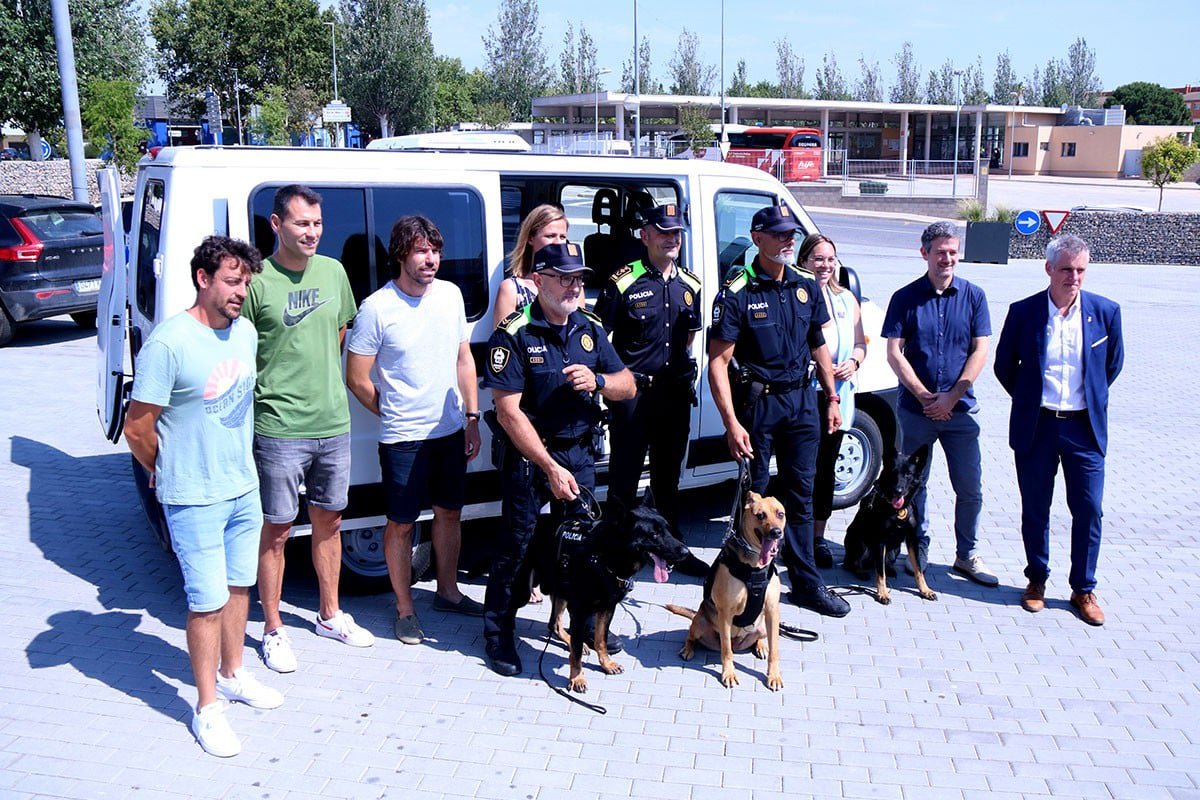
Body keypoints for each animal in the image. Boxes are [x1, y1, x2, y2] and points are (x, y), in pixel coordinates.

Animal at [540, 501, 691, 695]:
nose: (686, 552)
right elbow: (576, 653)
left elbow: (601, 640)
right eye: (654, 534)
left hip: (560, 592)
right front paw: (577, 677)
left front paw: (606, 663)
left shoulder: (607, 608)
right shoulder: (580, 612)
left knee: (555, 624)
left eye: (668, 530)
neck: (603, 557)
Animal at [667, 491, 787, 690]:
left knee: (760, 638)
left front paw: (774, 675)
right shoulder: (725, 612)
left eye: (780, 514)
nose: (776, 532)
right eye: (760, 515)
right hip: (700, 623)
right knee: (692, 636)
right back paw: (688, 649)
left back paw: (761, 645)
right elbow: (726, 650)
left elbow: (775, 651)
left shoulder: (772, 610)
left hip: (763, 625)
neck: (754, 568)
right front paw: (729, 673)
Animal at [835, 443, 936, 606]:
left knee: (883, 562)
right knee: (853, 563)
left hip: (894, 549)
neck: (898, 510)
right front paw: (882, 593)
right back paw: (861, 571)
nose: (898, 491)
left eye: (908, 474)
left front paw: (925, 590)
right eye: (893, 473)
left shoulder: (912, 539)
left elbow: (918, 569)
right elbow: (880, 573)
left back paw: (890, 568)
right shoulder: (880, 540)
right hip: (860, 541)